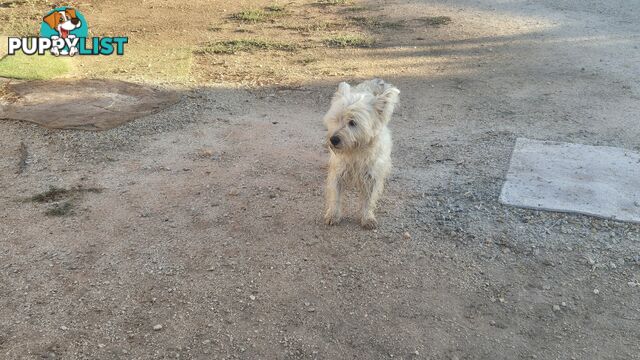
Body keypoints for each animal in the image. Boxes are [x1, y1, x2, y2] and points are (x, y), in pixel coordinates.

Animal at [324, 79, 400, 229]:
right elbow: (335, 196)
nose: (333, 140)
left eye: (353, 122)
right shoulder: (338, 173)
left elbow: (368, 200)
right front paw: (333, 215)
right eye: (336, 118)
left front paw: (367, 217)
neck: (355, 151)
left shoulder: (371, 176)